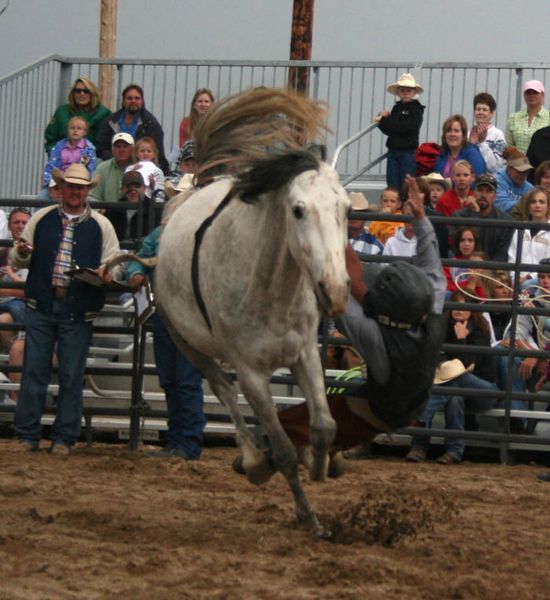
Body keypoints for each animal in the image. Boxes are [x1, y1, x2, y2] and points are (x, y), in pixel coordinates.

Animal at [155, 88, 352, 528]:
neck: (270, 288)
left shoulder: (304, 353)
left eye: (346, 208)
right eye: (298, 209)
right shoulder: (252, 375)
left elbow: (324, 425)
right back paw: (252, 461)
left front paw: (323, 462)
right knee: (222, 388)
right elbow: (282, 449)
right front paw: (308, 517)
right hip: (186, 342)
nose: (335, 291)